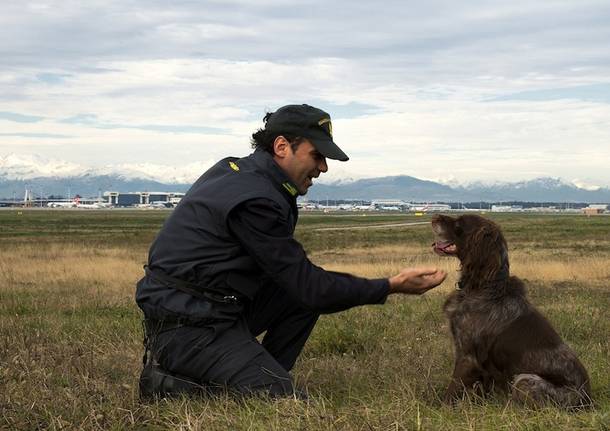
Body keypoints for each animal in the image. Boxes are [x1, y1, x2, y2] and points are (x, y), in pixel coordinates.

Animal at [428, 214, 588, 410]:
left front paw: (440, 409)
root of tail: (587, 400)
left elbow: (452, 389)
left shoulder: (467, 356)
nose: (433, 217)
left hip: (525, 380)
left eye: (459, 223)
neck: (485, 287)